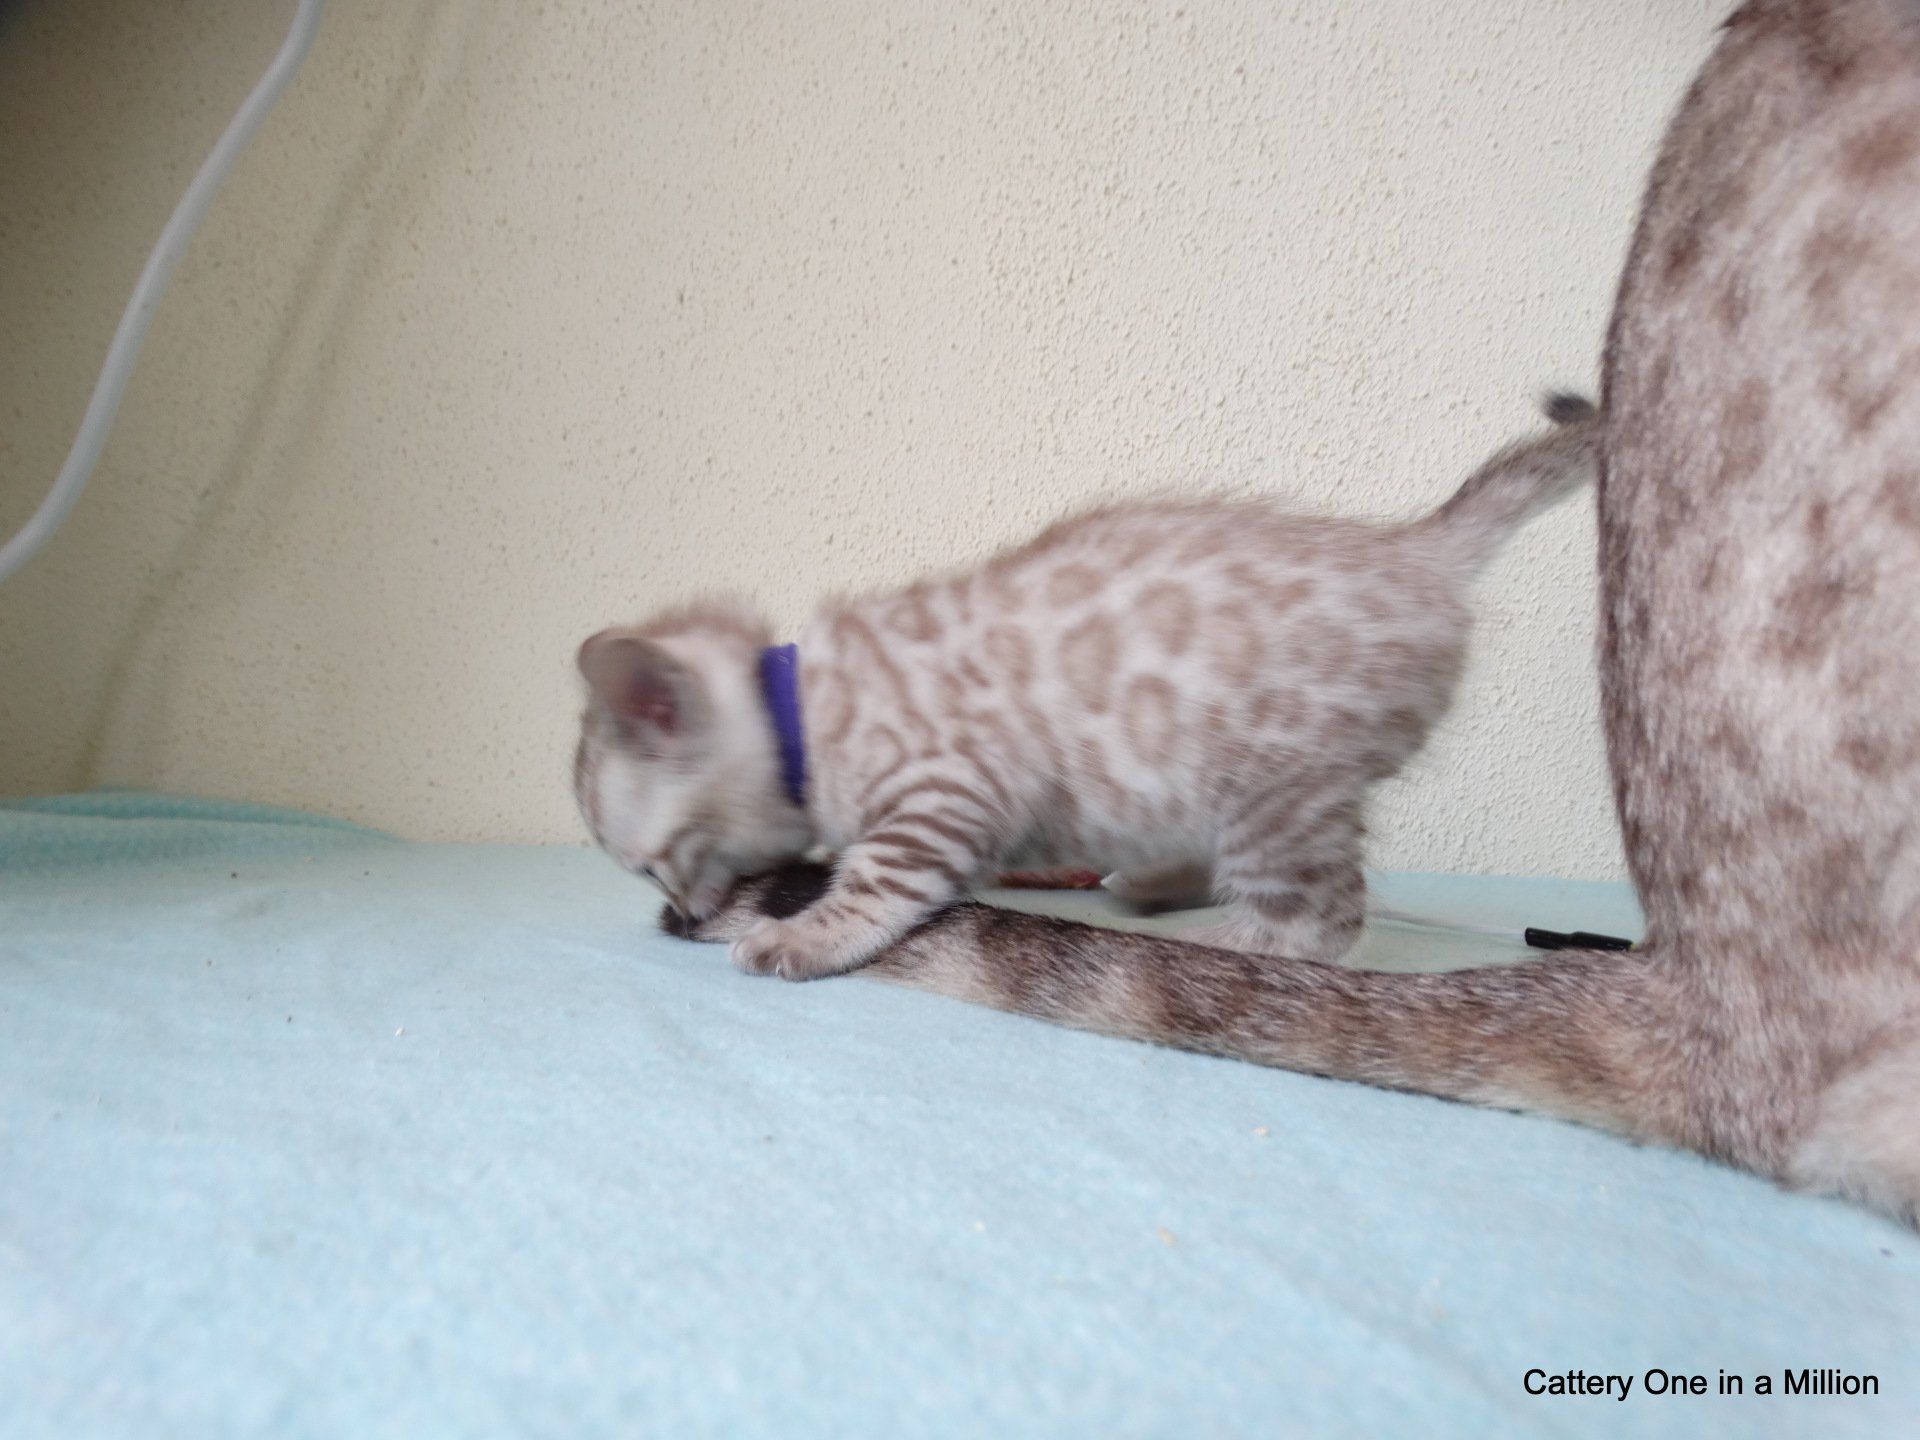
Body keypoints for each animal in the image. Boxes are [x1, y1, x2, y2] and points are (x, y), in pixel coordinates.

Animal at [575, 404, 1596, 980]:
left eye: (650, 867)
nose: (683, 913)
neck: (798, 710)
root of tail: (1417, 547)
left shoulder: (943, 791)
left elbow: (878, 881)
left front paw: (804, 936)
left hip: (1273, 787)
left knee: (1323, 921)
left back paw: (1217, 945)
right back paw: (1152, 885)